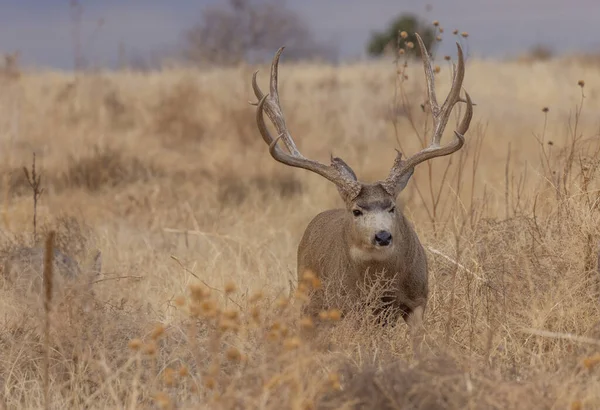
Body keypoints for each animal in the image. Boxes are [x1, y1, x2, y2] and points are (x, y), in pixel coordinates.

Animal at [248, 33, 474, 350]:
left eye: (392, 206)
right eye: (357, 211)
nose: (383, 236)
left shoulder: (418, 299)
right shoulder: (350, 306)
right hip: (309, 297)